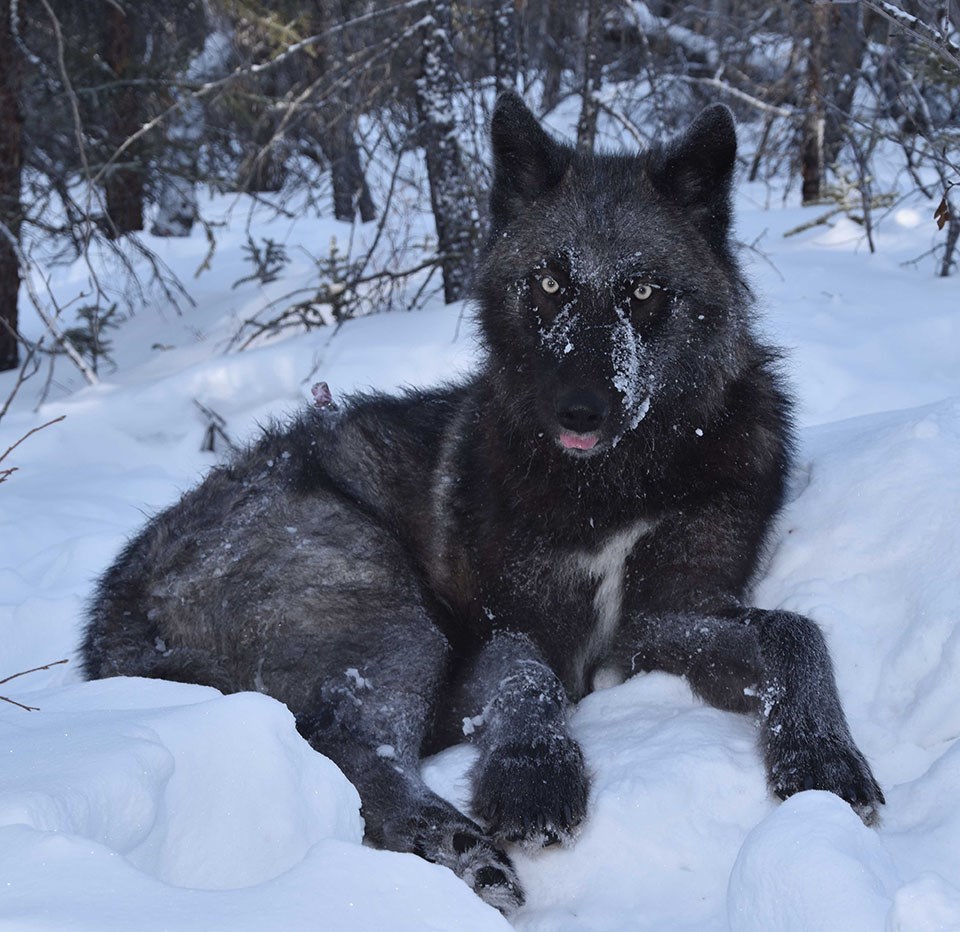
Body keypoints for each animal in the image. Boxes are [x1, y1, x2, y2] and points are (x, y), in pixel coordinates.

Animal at [84, 93, 884, 912]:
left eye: (643, 292)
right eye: (551, 285)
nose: (579, 409)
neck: (616, 484)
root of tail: (115, 603)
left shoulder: (659, 620)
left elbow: (794, 631)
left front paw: (823, 753)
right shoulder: (507, 624)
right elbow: (525, 673)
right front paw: (533, 772)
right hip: (387, 605)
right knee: (351, 746)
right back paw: (457, 844)